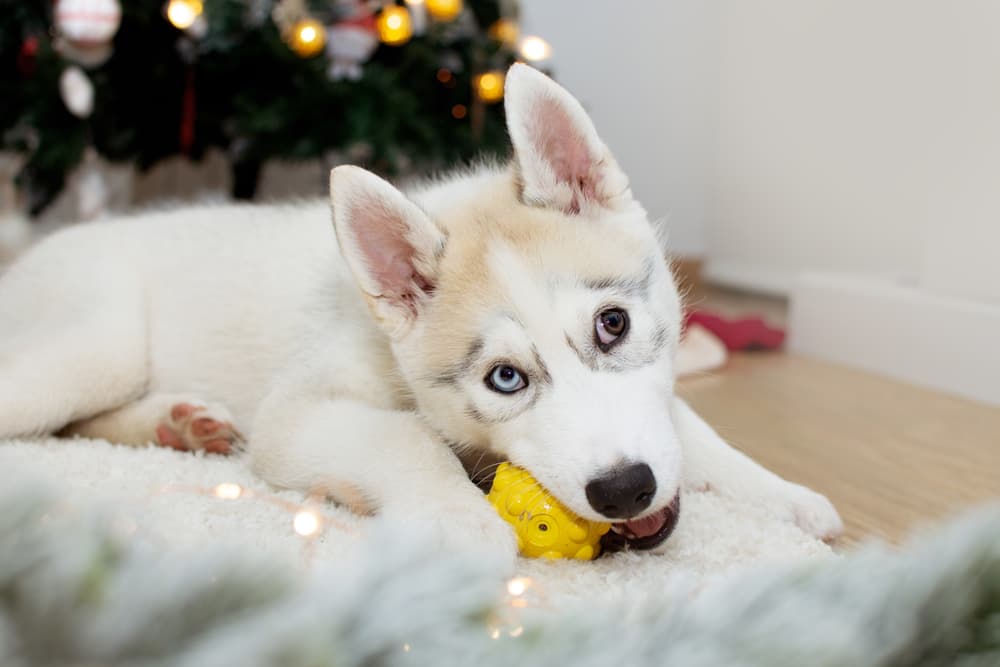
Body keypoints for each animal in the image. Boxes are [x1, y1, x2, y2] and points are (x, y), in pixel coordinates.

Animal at [0, 66, 840, 560]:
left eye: (614, 324)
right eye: (505, 378)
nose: (625, 490)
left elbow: (691, 430)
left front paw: (785, 496)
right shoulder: (298, 410)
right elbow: (405, 437)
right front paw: (457, 518)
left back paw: (181, 424)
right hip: (93, 346)